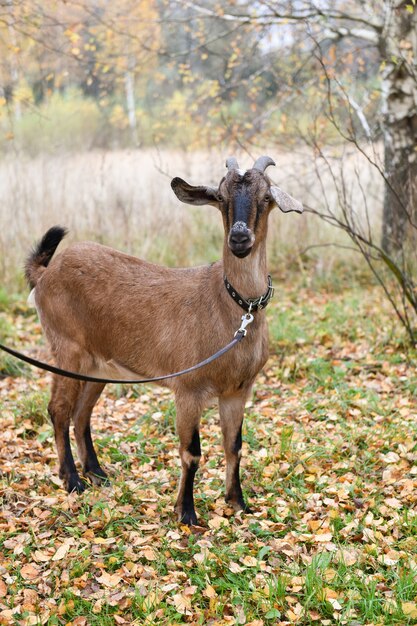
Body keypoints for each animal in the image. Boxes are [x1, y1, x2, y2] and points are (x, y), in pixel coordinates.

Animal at [25, 155, 302, 520]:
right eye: (221, 198)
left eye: (266, 196)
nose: (240, 239)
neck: (231, 308)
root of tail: (45, 274)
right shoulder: (188, 389)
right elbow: (191, 452)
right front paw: (186, 513)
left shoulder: (237, 391)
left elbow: (234, 446)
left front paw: (238, 503)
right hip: (67, 349)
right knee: (58, 410)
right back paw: (72, 480)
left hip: (99, 366)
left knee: (81, 413)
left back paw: (97, 473)